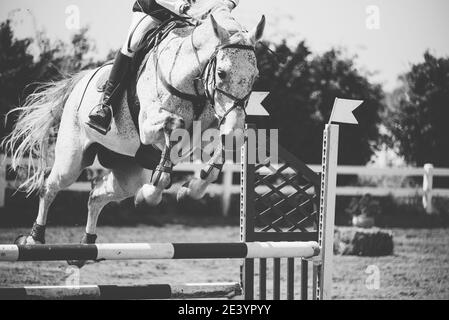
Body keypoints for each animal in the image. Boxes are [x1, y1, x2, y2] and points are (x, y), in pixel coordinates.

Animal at [1, 4, 264, 264]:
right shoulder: (150, 126)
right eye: (221, 73)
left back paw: (87, 245)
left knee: (97, 195)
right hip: (72, 160)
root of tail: (80, 81)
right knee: (50, 187)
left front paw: (191, 187)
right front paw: (154, 191)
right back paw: (34, 238)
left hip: (129, 174)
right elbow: (174, 126)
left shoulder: (211, 126)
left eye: (255, 77)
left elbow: (221, 147)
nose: (235, 127)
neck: (192, 83)